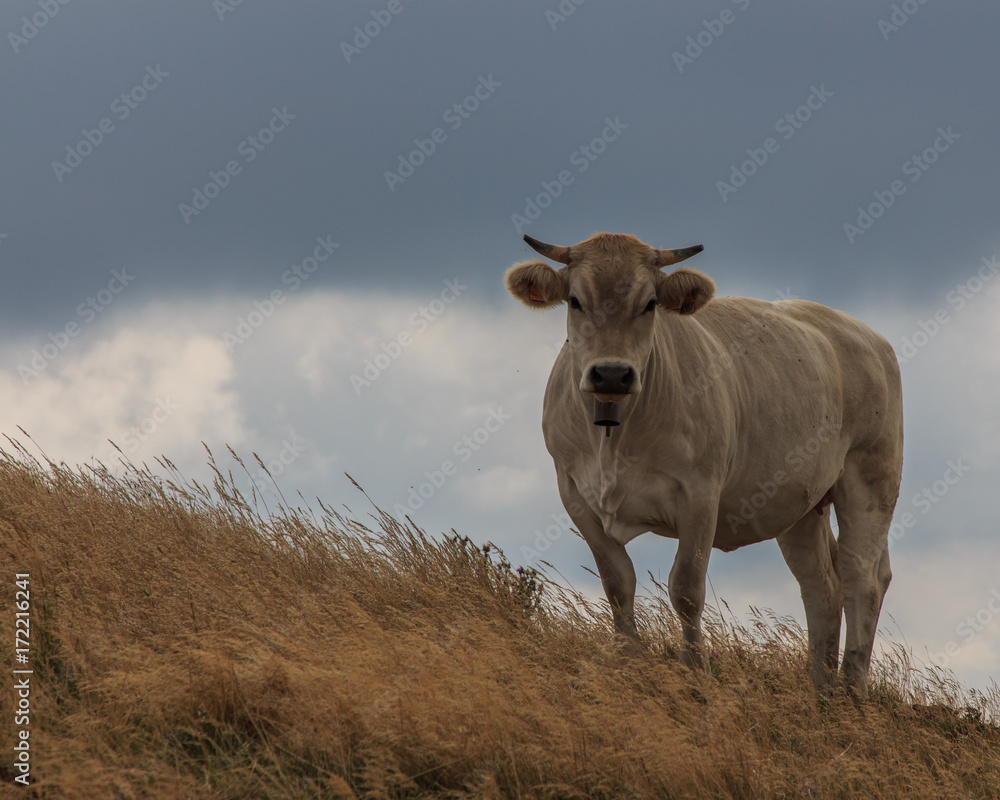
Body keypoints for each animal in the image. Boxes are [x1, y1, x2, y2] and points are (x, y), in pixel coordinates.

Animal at [504, 230, 904, 692]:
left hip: (871, 475)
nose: (612, 374)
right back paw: (818, 689)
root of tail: (861, 331)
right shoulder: (574, 494)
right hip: (800, 502)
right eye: (574, 300)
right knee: (821, 584)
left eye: (649, 303)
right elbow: (617, 583)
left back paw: (851, 689)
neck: (614, 437)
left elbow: (685, 588)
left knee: (863, 577)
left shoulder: (699, 495)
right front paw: (629, 659)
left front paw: (695, 669)